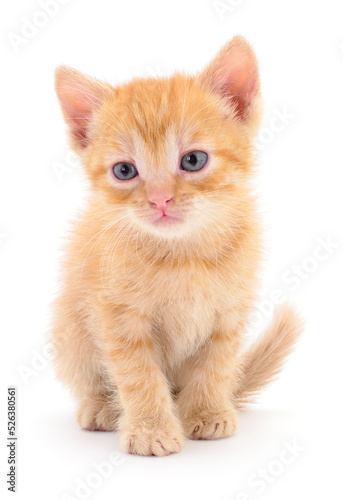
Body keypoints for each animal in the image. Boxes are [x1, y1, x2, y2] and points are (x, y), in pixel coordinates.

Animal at [52, 37, 302, 456]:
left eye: (194, 160)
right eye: (124, 170)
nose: (160, 200)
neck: (184, 255)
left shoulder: (230, 312)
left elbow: (216, 364)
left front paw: (205, 412)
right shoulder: (117, 316)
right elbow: (138, 374)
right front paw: (150, 428)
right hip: (69, 328)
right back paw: (103, 407)